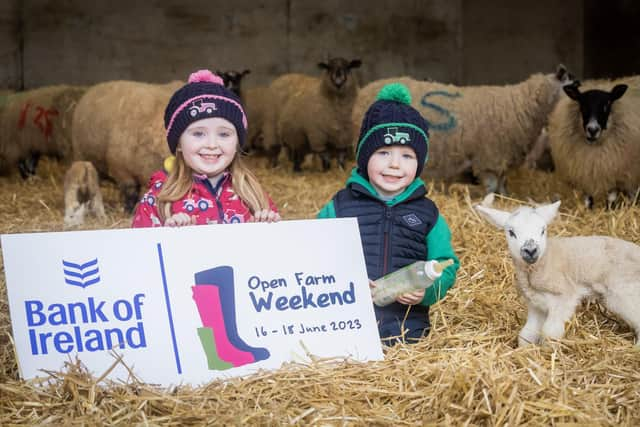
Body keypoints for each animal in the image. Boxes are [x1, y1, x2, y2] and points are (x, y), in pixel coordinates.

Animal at [350, 65, 576, 194]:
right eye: (571, 87)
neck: (522, 105)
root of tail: (364, 91)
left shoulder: (500, 159)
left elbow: (502, 186)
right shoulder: (488, 158)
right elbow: (492, 188)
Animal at [476, 197, 640, 348]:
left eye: (543, 230)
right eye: (511, 232)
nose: (531, 250)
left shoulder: (564, 297)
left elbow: (550, 332)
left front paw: (548, 351)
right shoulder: (535, 304)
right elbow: (527, 333)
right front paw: (525, 350)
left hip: (625, 292)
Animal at [544, 77, 640, 210]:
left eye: (607, 105)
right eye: (583, 105)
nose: (593, 130)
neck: (593, 152)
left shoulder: (614, 174)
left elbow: (611, 198)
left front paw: (609, 210)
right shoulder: (584, 175)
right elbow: (588, 199)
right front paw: (588, 210)